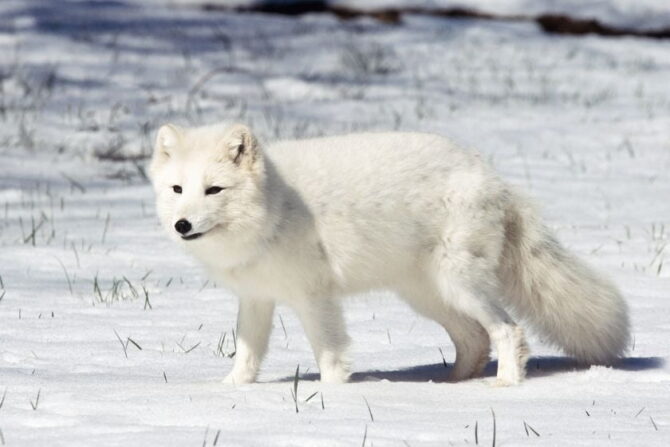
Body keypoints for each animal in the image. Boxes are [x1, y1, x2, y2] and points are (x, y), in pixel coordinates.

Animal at [149, 122, 630, 386]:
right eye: (177, 189)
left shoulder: (314, 297)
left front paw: (332, 395)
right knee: (475, 340)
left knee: (508, 330)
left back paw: (506, 385)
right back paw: (446, 385)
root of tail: (493, 177)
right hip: (428, 296)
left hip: (459, 286)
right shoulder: (256, 298)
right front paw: (229, 390)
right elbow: (247, 356)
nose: (182, 225)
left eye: (214, 190)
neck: (275, 206)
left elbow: (330, 355)